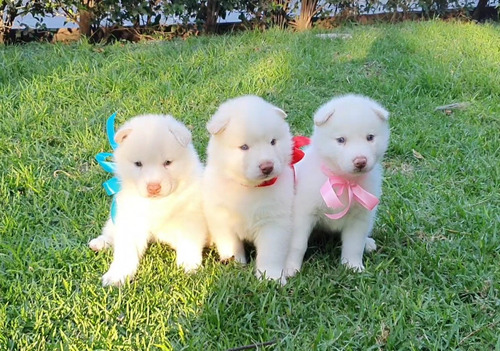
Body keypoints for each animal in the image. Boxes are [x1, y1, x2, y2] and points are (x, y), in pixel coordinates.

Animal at [88, 114, 207, 288]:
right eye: (138, 164)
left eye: (168, 162)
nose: (153, 187)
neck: (157, 203)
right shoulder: (131, 219)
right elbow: (125, 251)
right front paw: (117, 275)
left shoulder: (190, 217)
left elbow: (189, 243)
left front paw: (189, 266)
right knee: (111, 231)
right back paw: (100, 243)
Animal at [202, 95, 294, 284]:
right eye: (244, 147)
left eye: (273, 142)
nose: (267, 166)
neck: (249, 188)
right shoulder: (222, 217)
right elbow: (231, 245)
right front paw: (236, 264)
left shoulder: (274, 221)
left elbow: (270, 253)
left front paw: (271, 278)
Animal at [286, 95, 390, 276]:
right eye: (341, 140)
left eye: (370, 137)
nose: (360, 161)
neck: (344, 180)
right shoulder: (304, 213)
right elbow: (298, 243)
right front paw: (290, 268)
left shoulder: (360, 217)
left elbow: (354, 244)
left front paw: (353, 266)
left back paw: (368, 243)